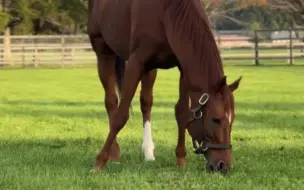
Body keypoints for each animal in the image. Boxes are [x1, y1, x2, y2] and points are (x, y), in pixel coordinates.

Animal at [87, 0, 242, 173]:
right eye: (216, 119)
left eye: (232, 120)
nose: (223, 166)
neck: (166, 12)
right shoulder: (135, 63)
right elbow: (121, 116)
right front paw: (99, 162)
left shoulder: (183, 67)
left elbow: (182, 113)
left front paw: (181, 160)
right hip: (103, 52)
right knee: (111, 101)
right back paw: (114, 153)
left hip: (150, 69)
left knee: (146, 103)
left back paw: (148, 153)